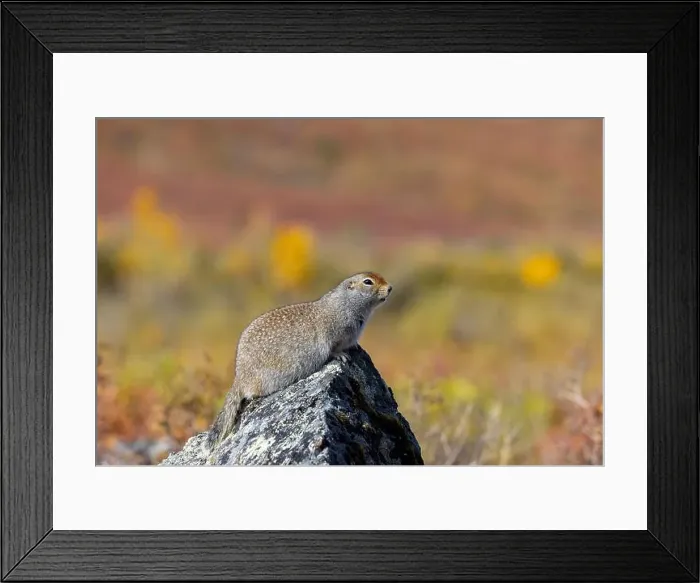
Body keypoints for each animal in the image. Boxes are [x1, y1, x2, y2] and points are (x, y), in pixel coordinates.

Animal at [206, 271, 392, 448]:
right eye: (368, 282)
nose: (390, 288)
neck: (346, 303)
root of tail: (239, 377)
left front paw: (355, 347)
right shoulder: (333, 335)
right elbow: (333, 349)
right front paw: (342, 355)